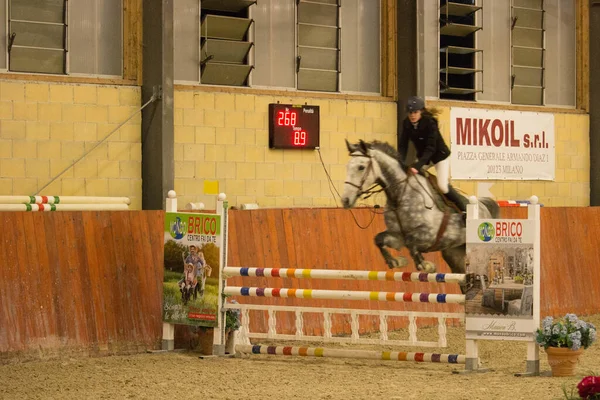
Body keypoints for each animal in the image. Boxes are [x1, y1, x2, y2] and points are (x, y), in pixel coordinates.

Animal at [340, 139, 500, 282]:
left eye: (361, 167)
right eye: (347, 167)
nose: (345, 200)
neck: (400, 195)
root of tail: (484, 206)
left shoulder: (429, 236)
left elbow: (411, 243)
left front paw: (425, 265)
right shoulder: (397, 236)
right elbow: (379, 239)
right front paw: (396, 262)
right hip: (455, 254)